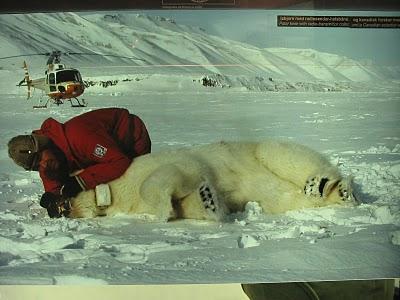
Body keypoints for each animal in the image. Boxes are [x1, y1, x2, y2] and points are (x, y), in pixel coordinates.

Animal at [67, 139, 358, 221]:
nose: (68, 210)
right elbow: (190, 203)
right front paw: (208, 200)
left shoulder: (165, 162)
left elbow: (169, 175)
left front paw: (162, 212)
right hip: (276, 195)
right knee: (286, 198)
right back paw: (338, 194)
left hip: (265, 151)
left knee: (286, 157)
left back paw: (324, 185)